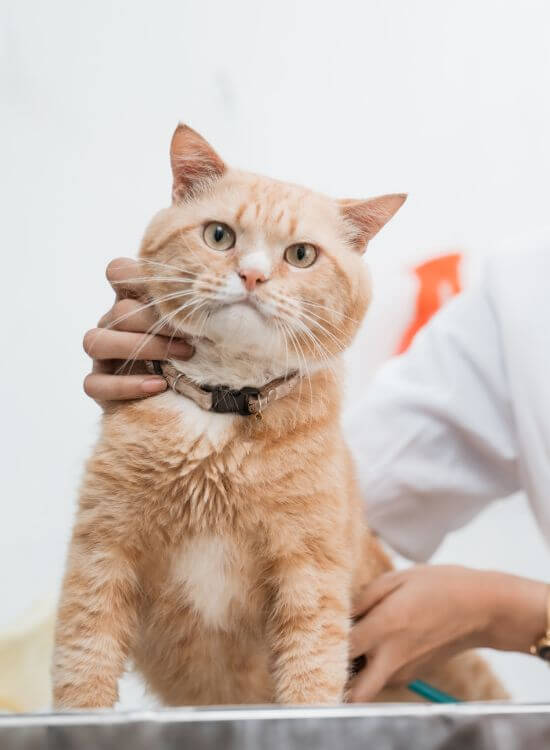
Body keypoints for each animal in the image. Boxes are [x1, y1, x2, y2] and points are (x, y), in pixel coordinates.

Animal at [52, 126, 508, 708]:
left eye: (301, 254)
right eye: (219, 236)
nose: (252, 275)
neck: (223, 409)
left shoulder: (309, 573)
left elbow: (310, 676)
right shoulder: (102, 550)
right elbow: (83, 666)